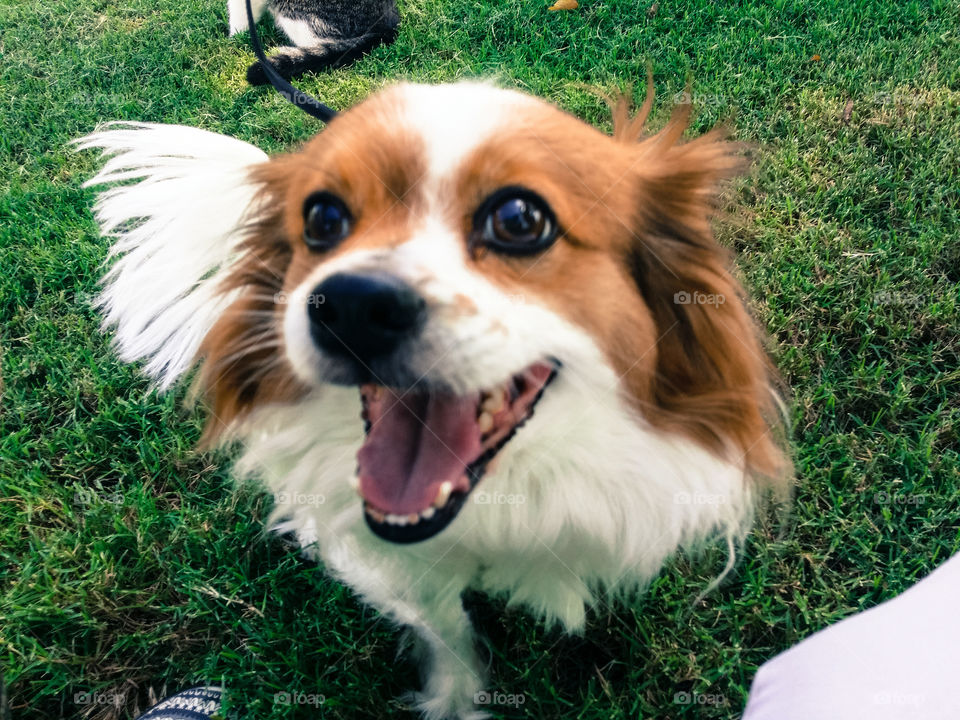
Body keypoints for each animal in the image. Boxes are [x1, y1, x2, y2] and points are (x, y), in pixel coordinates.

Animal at [77, 80, 788, 720]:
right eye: (321, 218)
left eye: (520, 219)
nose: (353, 306)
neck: (497, 495)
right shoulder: (398, 563)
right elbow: (445, 628)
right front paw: (457, 699)